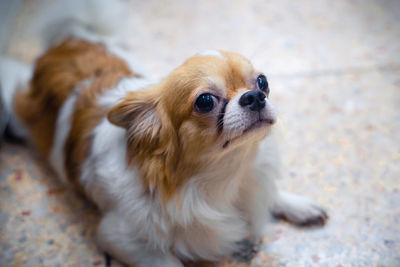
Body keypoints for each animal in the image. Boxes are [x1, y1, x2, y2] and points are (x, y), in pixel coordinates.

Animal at [0, 2, 328, 267]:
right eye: (205, 101)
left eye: (263, 82)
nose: (255, 96)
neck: (225, 176)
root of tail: (68, 41)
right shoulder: (117, 236)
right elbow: (170, 261)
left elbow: (270, 191)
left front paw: (296, 204)